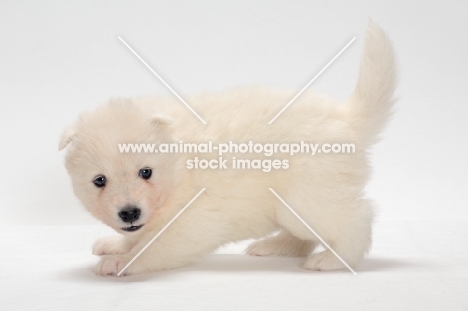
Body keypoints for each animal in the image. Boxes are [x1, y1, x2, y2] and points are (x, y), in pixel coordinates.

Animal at [58, 20, 394, 276]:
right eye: (99, 181)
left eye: (146, 172)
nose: (129, 212)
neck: (179, 168)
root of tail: (346, 118)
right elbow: (139, 237)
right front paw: (116, 246)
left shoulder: (194, 222)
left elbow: (153, 247)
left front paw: (122, 261)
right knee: (307, 235)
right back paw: (275, 246)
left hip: (308, 197)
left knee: (356, 220)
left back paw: (334, 259)